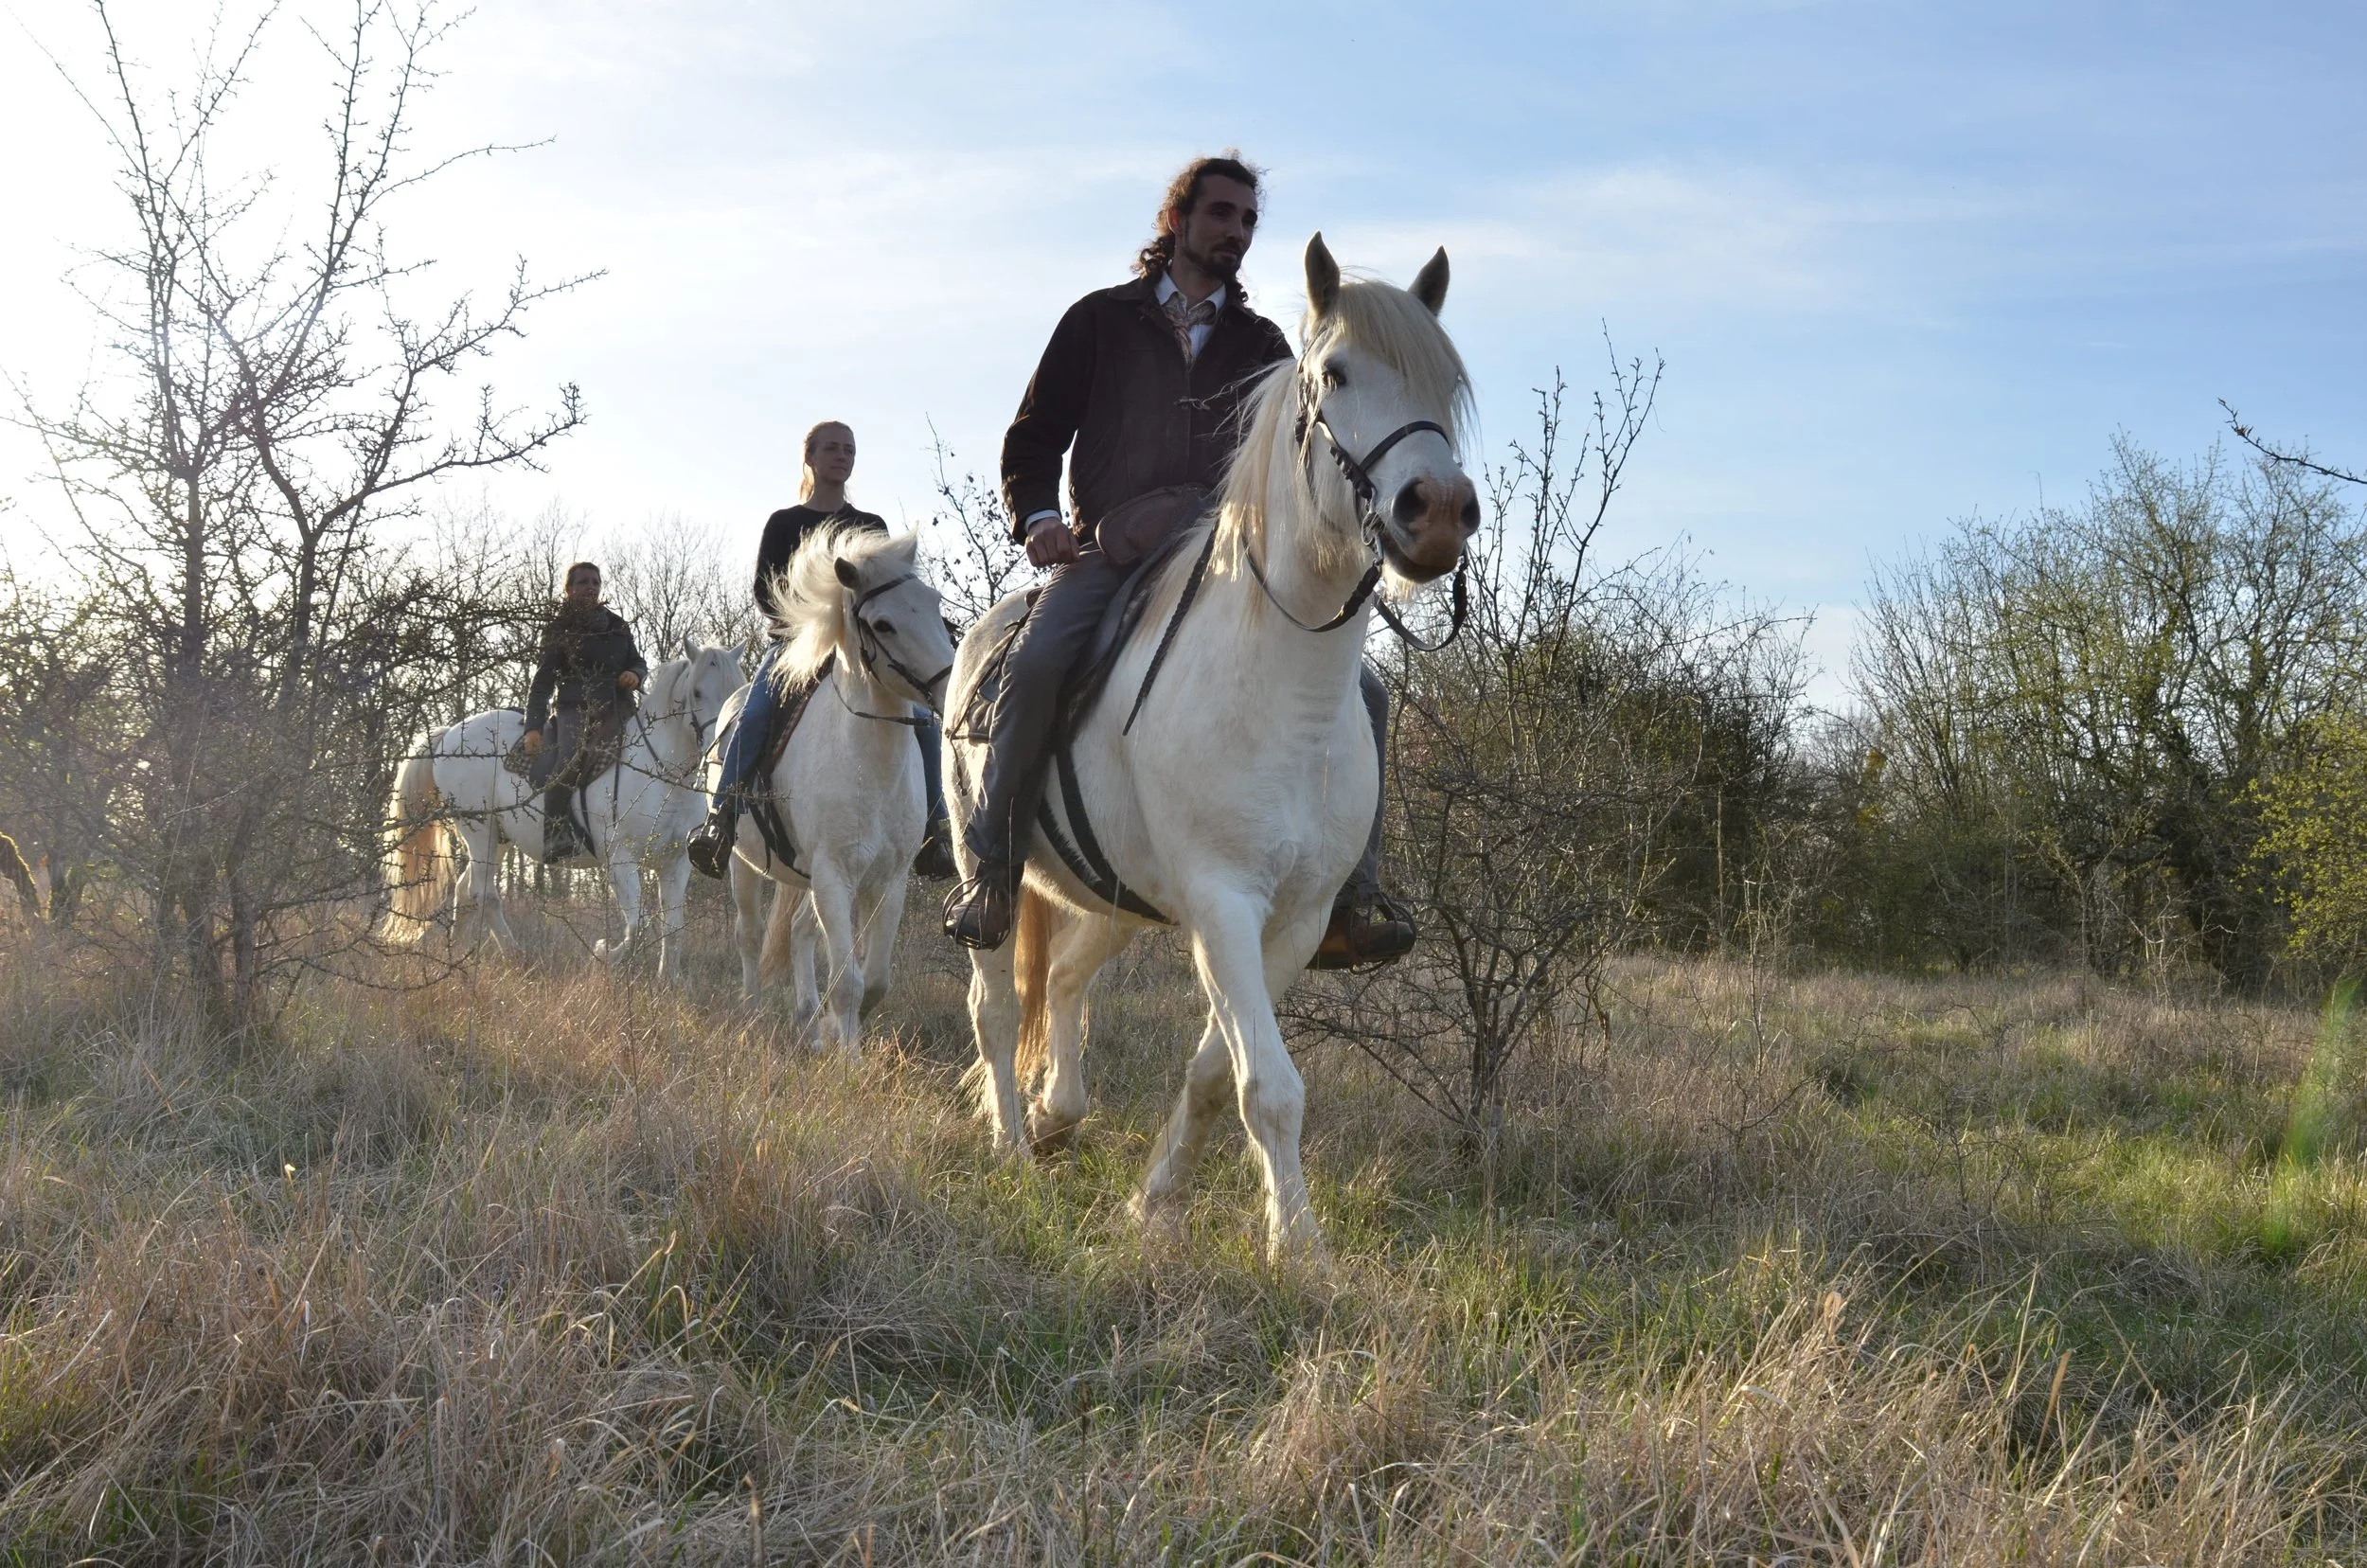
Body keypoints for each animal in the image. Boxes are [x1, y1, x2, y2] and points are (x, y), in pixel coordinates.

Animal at [382, 645, 745, 978]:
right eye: (697, 691)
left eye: (738, 690)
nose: (727, 749)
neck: (661, 773)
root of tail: (449, 734)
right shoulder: (621, 858)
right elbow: (637, 924)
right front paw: (605, 953)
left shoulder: (675, 862)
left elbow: (673, 925)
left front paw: (669, 981)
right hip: (478, 829)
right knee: (483, 893)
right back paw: (515, 955)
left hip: (499, 838)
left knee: (464, 890)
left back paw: (456, 957)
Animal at [717, 525, 955, 1052]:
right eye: (883, 624)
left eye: (934, 604)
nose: (953, 692)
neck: (870, 766)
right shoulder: (833, 873)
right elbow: (848, 980)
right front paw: (849, 1057)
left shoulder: (888, 880)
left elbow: (875, 978)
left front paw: (836, 1032)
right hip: (745, 864)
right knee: (749, 934)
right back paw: (751, 1014)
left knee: (800, 931)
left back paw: (808, 1020)